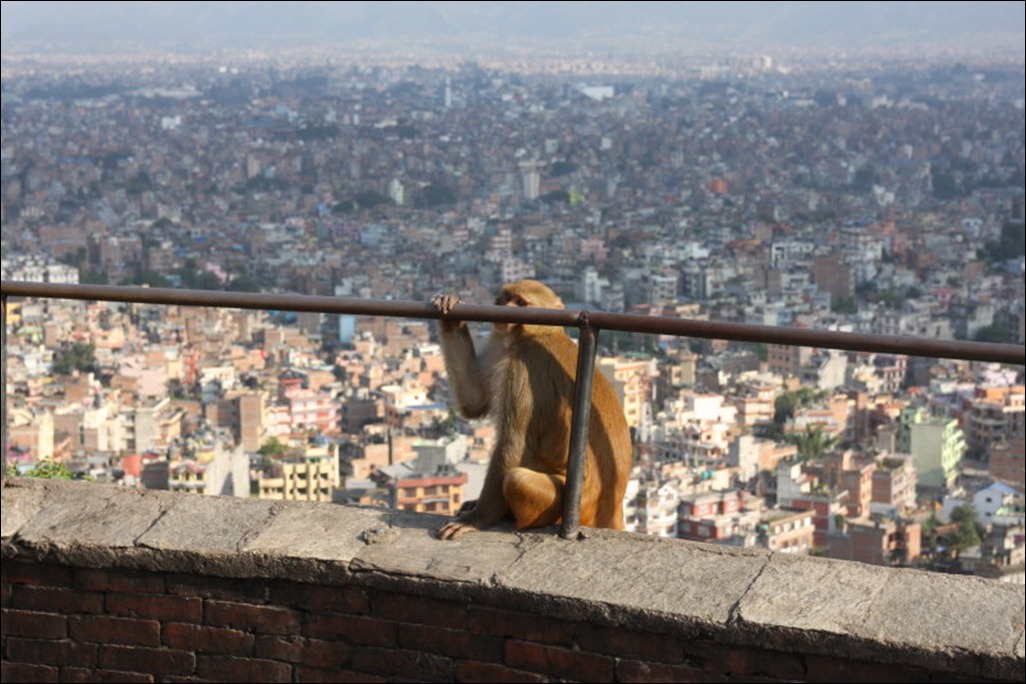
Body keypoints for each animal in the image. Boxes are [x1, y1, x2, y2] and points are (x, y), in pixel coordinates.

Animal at [432, 279, 632, 540]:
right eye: (505, 297)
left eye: (520, 302)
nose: (504, 307)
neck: (534, 333)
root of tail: (614, 507)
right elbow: (475, 402)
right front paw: (451, 316)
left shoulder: (522, 371)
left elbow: (513, 442)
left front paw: (476, 519)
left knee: (517, 479)